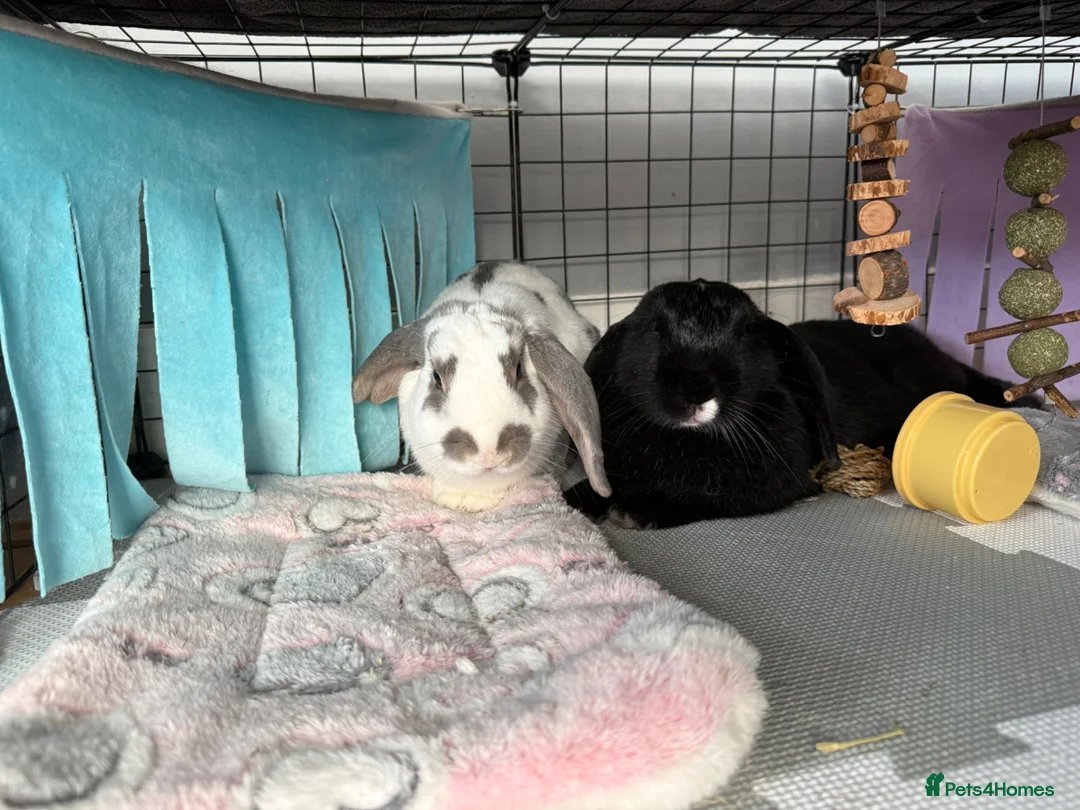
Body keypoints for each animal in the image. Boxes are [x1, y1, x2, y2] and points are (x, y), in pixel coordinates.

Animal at [564, 278, 1042, 529]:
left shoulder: (761, 490)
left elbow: (702, 501)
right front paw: (576, 500)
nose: (695, 390)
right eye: (653, 328)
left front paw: (635, 513)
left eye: (745, 333)